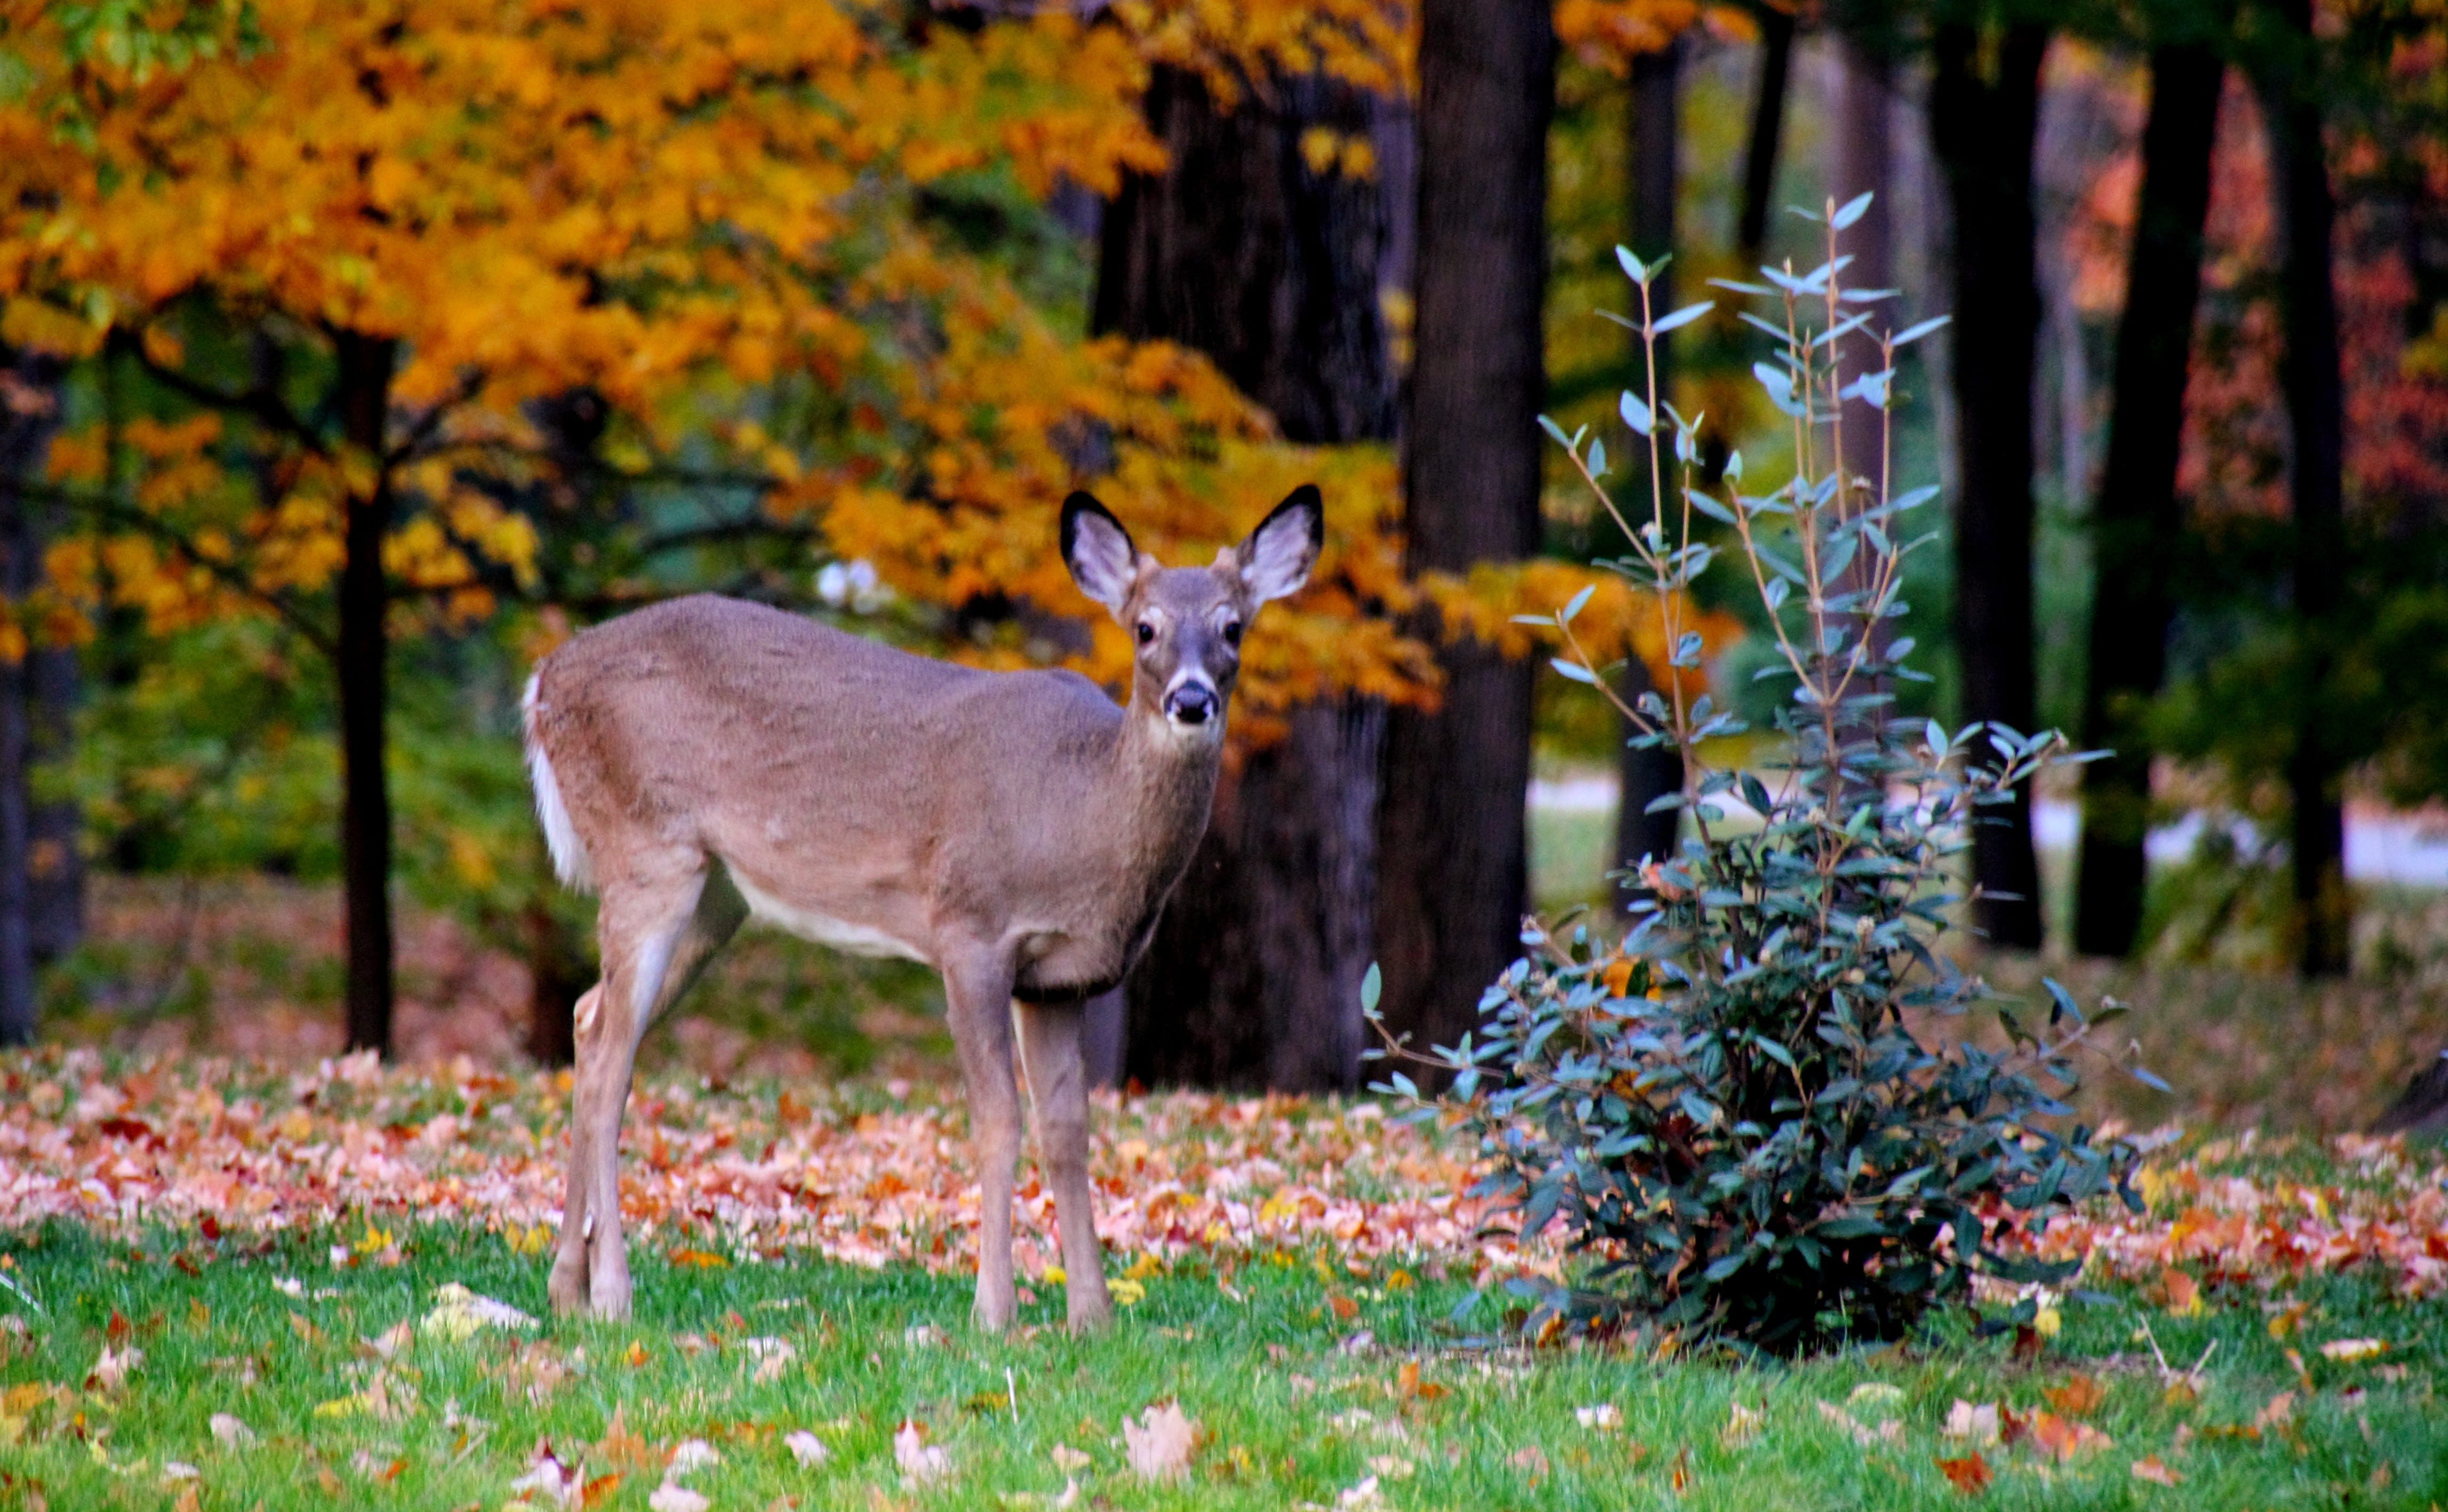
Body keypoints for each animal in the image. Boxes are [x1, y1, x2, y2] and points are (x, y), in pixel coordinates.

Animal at [521, 485, 1322, 1331]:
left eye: (1234, 626)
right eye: (1145, 627)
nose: (1192, 699)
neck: (1081, 814)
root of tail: (544, 680)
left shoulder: (1059, 979)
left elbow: (1067, 1129)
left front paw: (1092, 1318)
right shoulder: (970, 926)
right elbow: (997, 1120)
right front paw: (995, 1312)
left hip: (717, 896)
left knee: (588, 1019)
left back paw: (566, 1289)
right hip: (647, 847)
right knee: (611, 1052)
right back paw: (612, 1294)